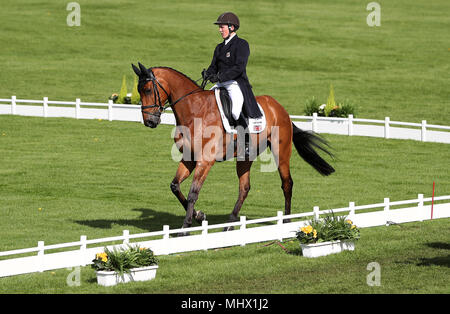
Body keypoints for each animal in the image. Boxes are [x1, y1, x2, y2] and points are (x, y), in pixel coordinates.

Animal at [131, 62, 334, 233]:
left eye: (147, 89)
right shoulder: (189, 158)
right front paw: (199, 216)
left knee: (287, 184)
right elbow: (175, 186)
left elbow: (193, 193)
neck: (194, 111)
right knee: (244, 188)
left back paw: (286, 221)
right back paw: (229, 224)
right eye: (139, 91)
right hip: (246, 157)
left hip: (281, 152)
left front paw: (186, 227)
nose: (149, 121)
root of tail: (280, 108)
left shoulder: (205, 161)